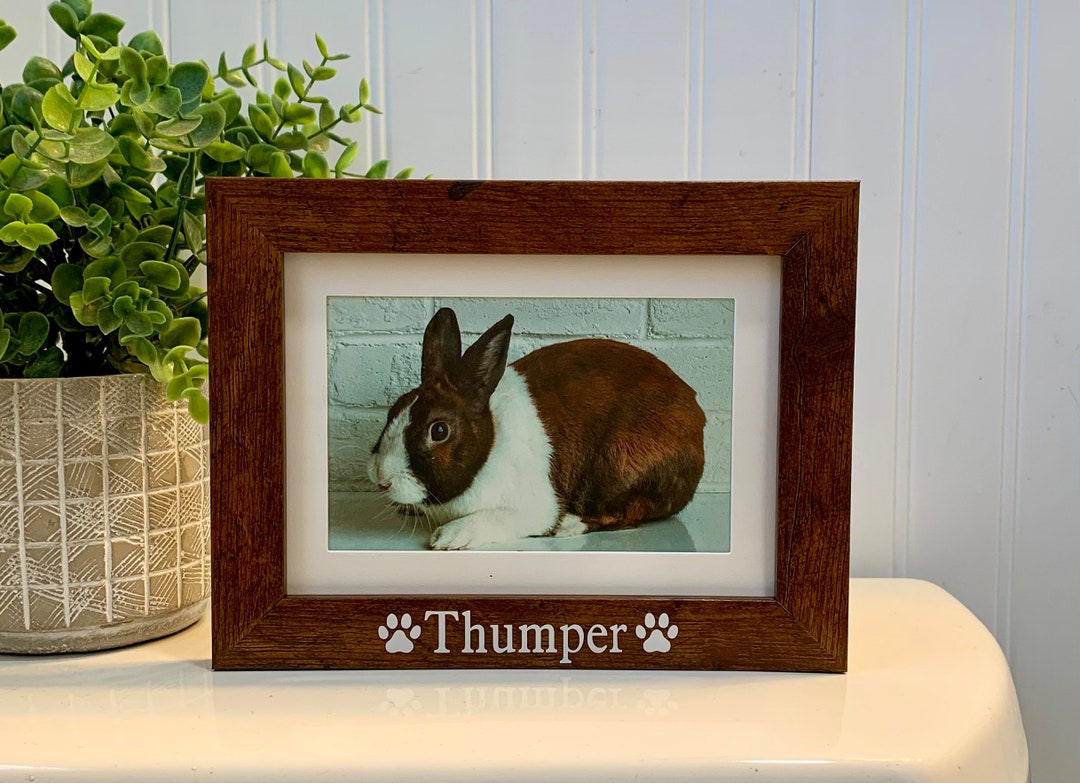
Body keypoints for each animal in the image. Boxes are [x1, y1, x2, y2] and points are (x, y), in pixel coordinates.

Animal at [367, 307, 706, 550]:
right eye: (394, 409)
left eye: (438, 431)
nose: (381, 477)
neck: (490, 444)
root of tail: (698, 427)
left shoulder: (532, 508)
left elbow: (493, 518)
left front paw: (449, 537)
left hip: (619, 464)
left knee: (630, 512)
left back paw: (569, 525)